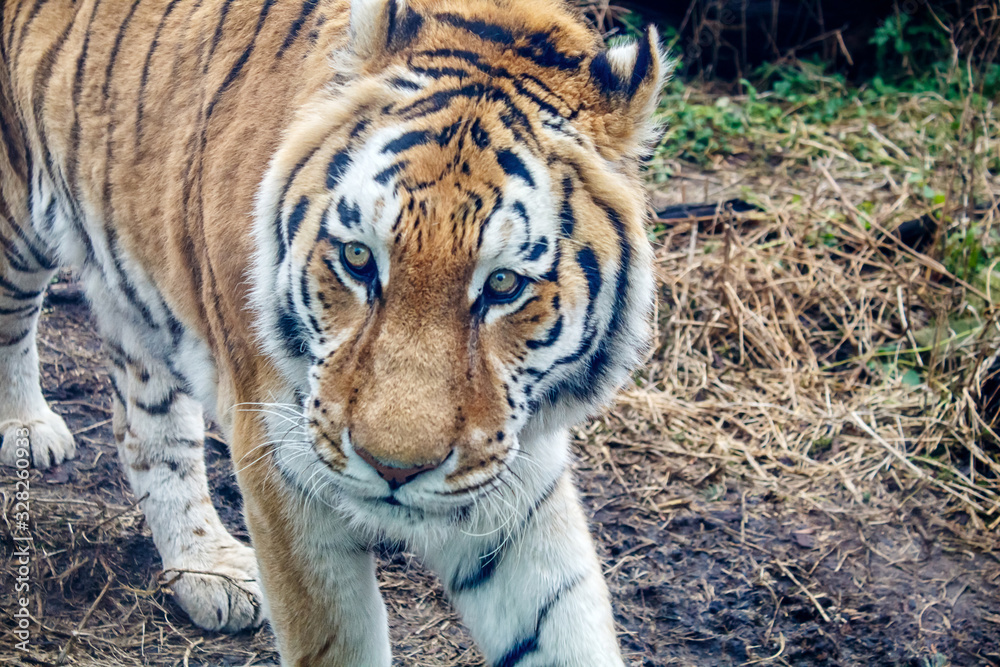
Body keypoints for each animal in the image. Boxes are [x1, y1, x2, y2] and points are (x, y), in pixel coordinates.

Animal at [0, 0, 667, 663]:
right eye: (357, 258)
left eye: (503, 284)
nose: (394, 470)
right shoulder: (282, 458)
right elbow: (334, 636)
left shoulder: (518, 478)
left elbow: (564, 619)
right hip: (16, 230)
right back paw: (27, 430)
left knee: (148, 424)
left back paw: (207, 570)